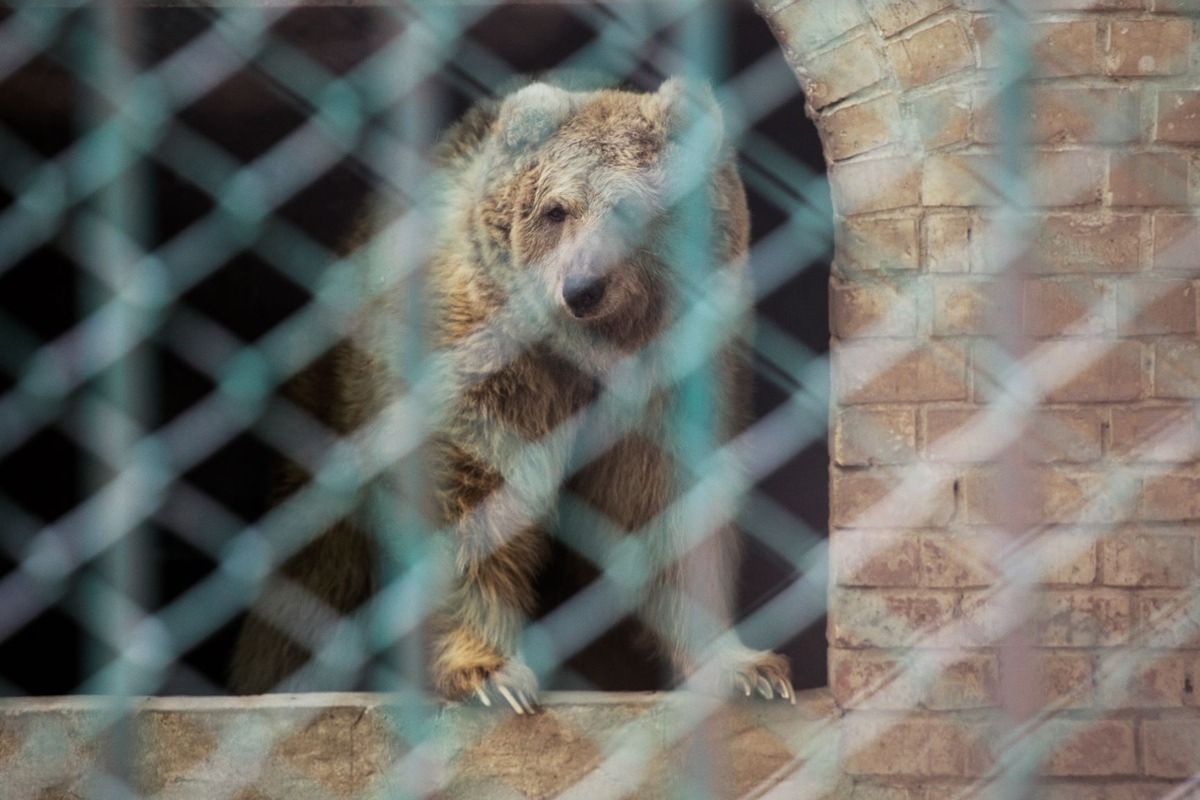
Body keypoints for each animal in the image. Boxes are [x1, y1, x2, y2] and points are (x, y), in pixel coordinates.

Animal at [231, 77, 796, 710]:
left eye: (628, 208)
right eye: (556, 209)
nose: (582, 286)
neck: (585, 352)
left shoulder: (674, 380)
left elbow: (662, 506)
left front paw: (747, 668)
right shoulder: (484, 366)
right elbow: (471, 500)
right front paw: (490, 673)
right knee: (311, 568)